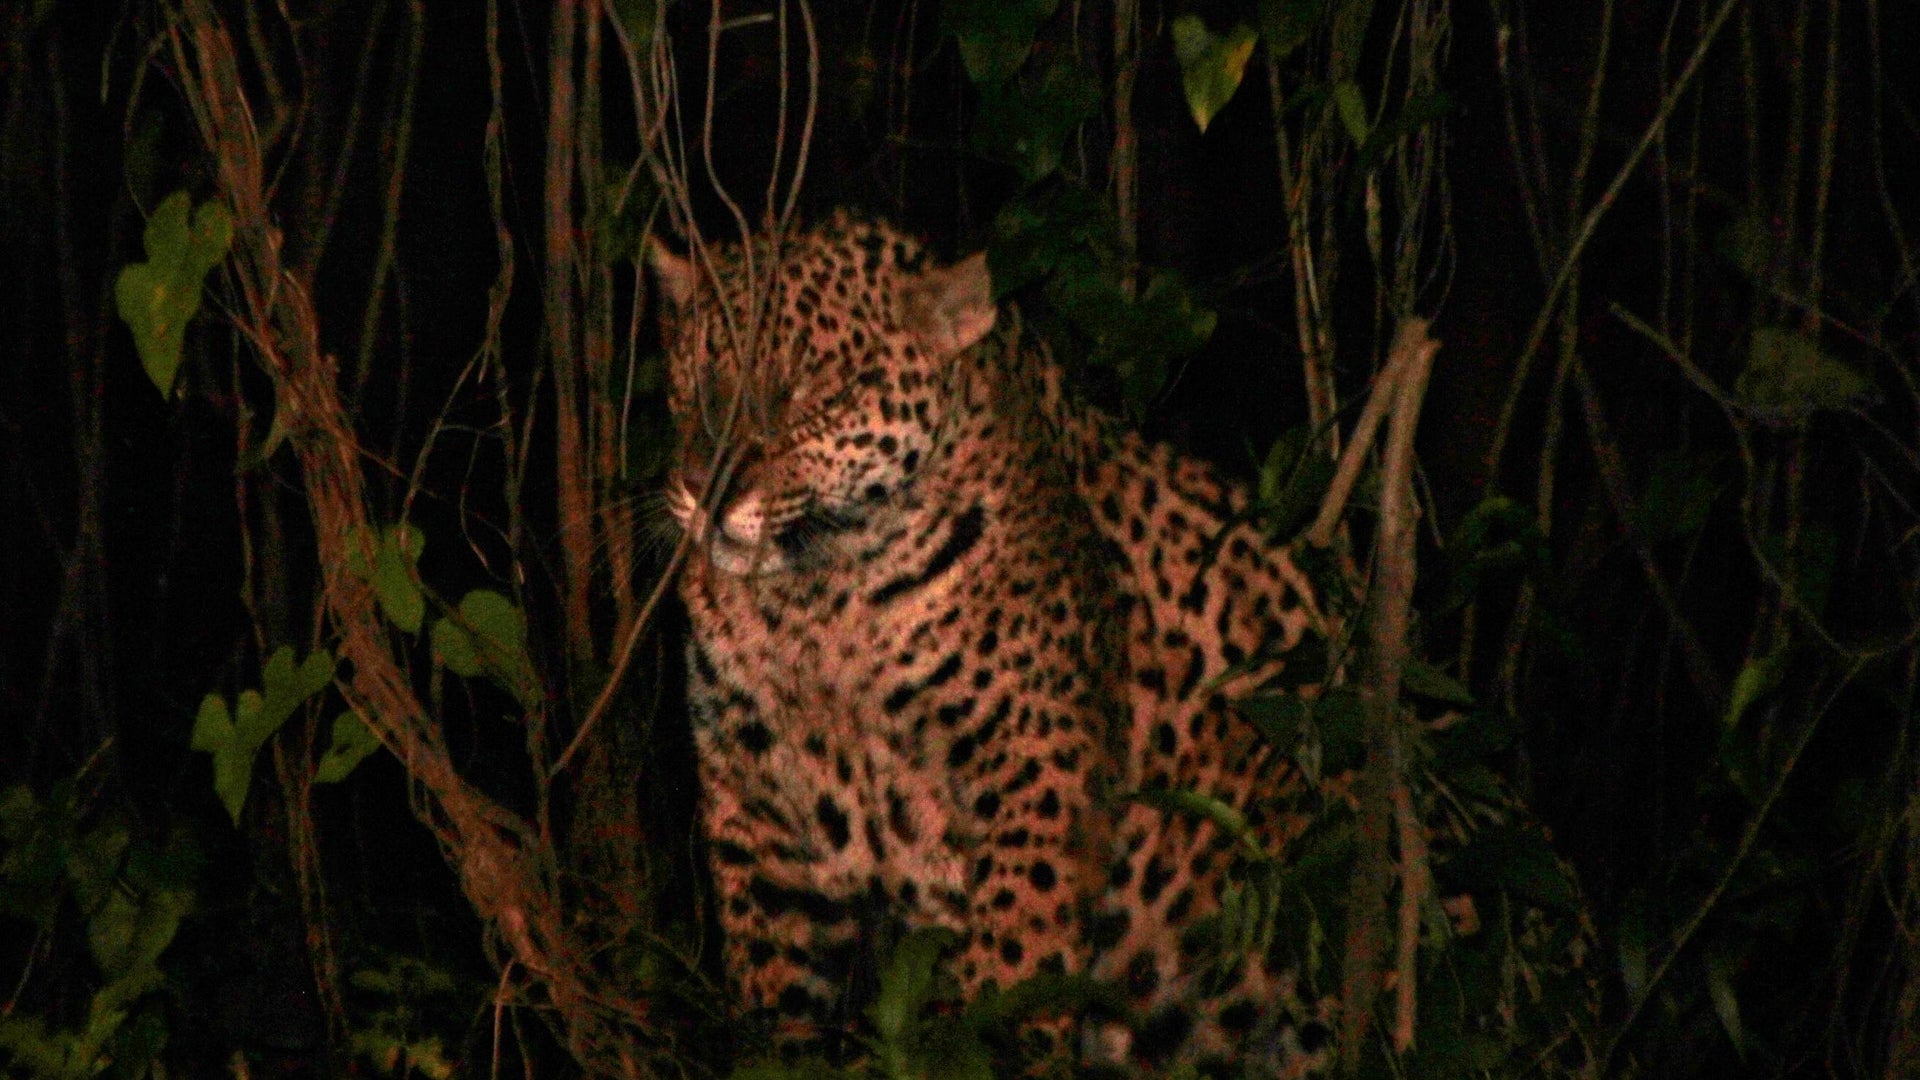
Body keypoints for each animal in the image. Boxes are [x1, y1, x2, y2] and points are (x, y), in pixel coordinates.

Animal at [651, 211, 1596, 1076]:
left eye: (809, 390)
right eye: (689, 378)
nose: (703, 490)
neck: (817, 605)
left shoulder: (1034, 771)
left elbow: (1012, 964)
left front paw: (988, 1047)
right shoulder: (753, 804)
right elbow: (773, 1003)